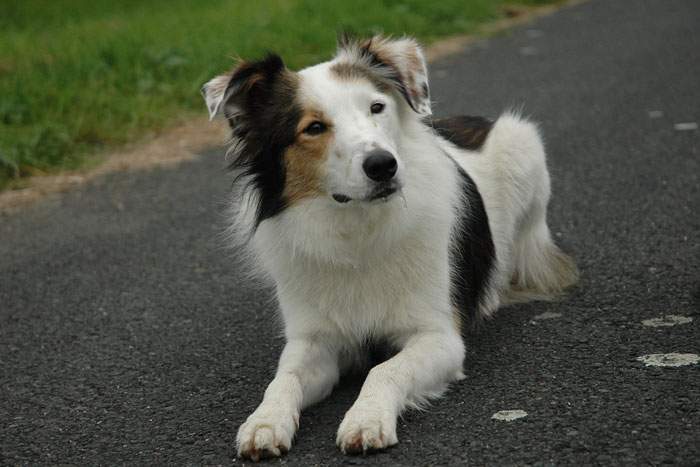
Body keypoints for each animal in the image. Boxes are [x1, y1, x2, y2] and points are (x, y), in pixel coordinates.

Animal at [200, 35, 576, 460]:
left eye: (376, 107)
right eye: (314, 128)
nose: (383, 165)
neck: (358, 229)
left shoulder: (439, 337)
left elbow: (385, 369)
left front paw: (366, 418)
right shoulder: (313, 340)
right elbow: (283, 379)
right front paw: (263, 422)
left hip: (524, 147)